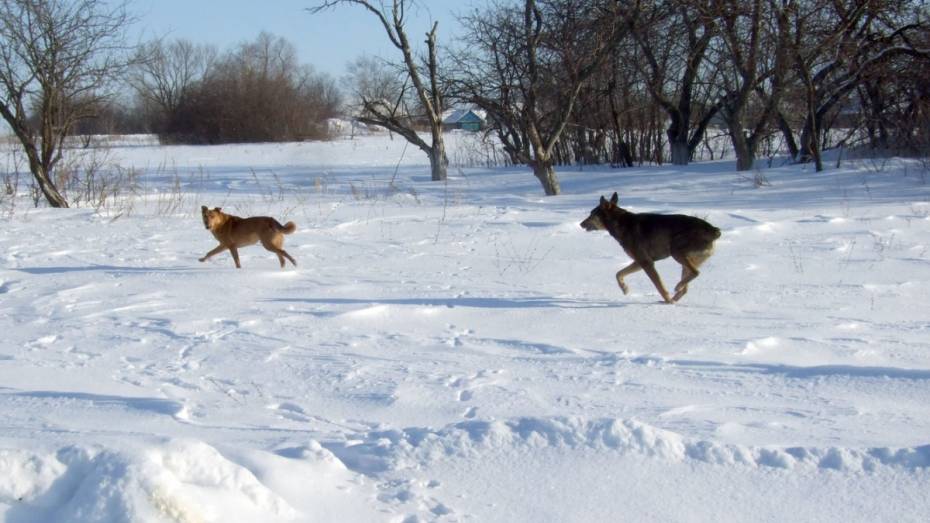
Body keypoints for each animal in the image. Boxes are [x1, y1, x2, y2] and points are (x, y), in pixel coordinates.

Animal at [576, 193, 720, 302]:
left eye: (592, 214)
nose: (581, 224)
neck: (620, 223)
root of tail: (714, 230)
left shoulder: (646, 262)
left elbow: (660, 286)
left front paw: (667, 301)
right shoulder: (639, 262)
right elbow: (618, 273)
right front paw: (624, 289)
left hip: (676, 251)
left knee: (695, 273)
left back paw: (676, 290)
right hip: (688, 259)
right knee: (686, 287)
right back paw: (676, 294)